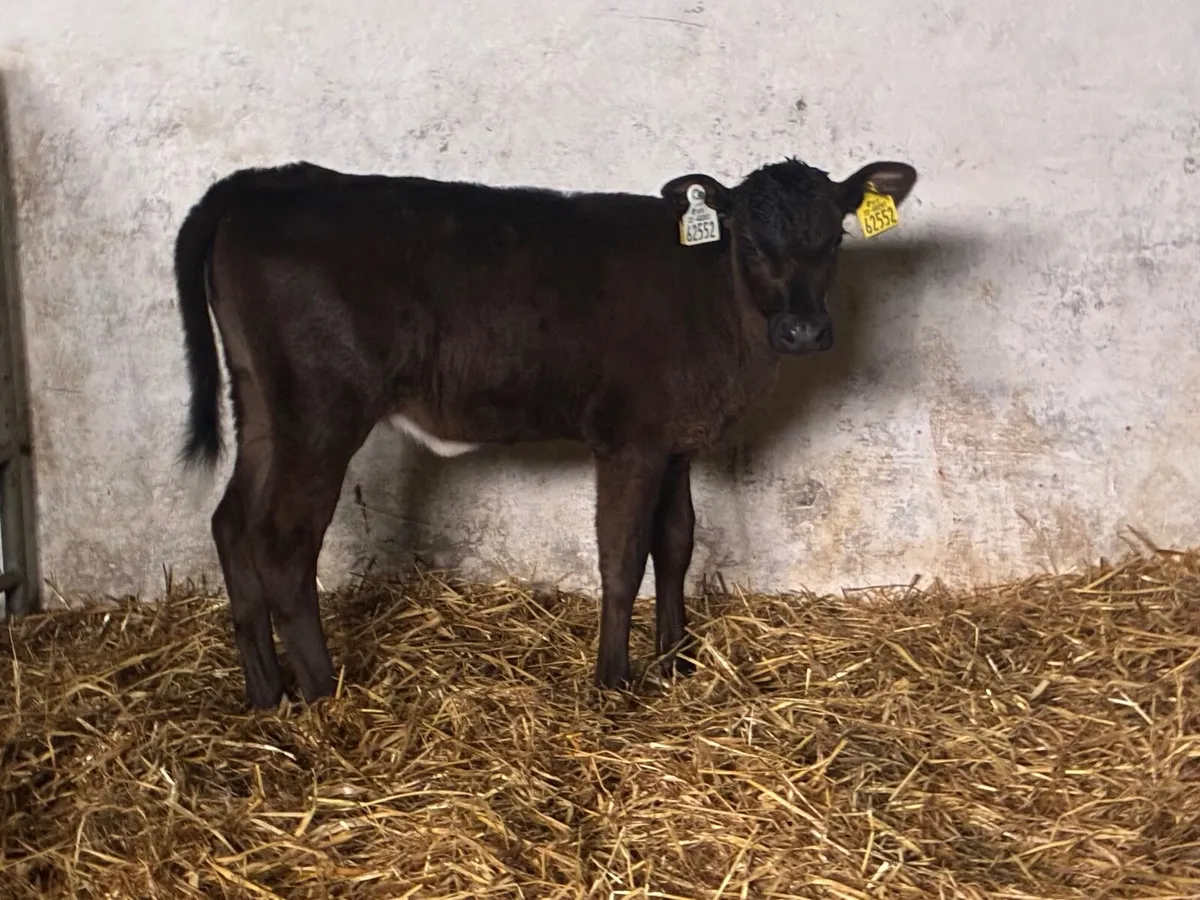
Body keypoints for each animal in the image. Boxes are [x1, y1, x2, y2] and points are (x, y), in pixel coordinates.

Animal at [174, 155, 917, 709]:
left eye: (835, 237)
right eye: (754, 244)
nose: (804, 331)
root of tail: (267, 181)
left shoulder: (677, 439)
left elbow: (676, 543)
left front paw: (675, 660)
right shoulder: (629, 438)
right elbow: (622, 556)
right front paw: (614, 681)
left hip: (262, 403)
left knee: (231, 523)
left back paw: (268, 693)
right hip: (320, 411)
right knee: (282, 543)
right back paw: (324, 692)